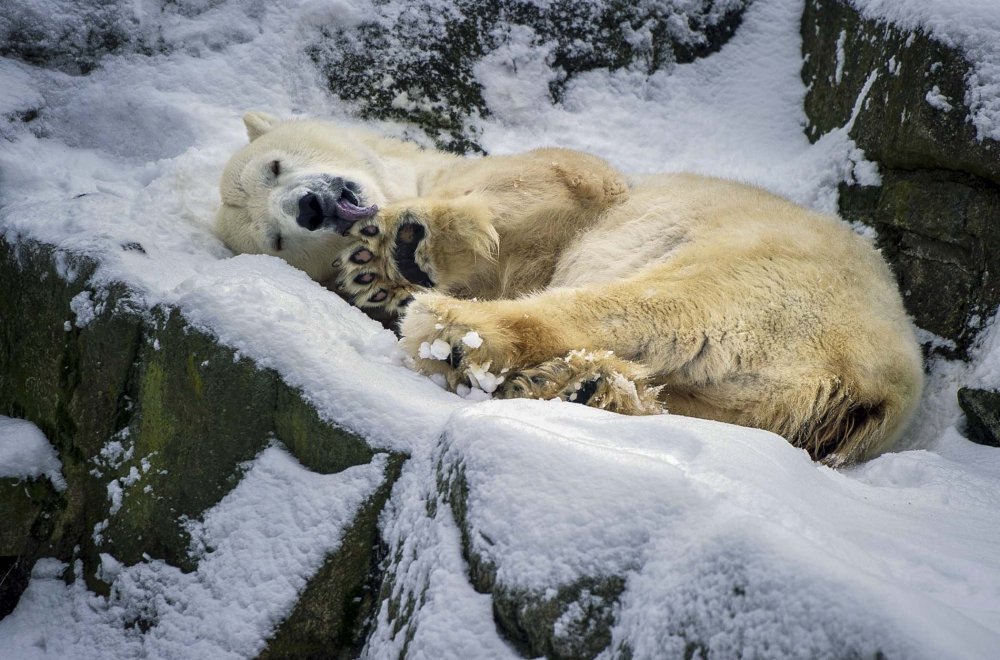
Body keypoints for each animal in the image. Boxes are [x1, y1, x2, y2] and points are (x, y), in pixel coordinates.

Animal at [217, 113, 920, 464]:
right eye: (272, 240)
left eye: (274, 165)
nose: (308, 208)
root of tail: (876, 385)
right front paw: (371, 276)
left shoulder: (569, 189)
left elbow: (566, 185)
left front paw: (406, 246)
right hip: (776, 394)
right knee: (699, 395)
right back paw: (576, 385)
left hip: (767, 266)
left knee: (656, 302)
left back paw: (454, 332)